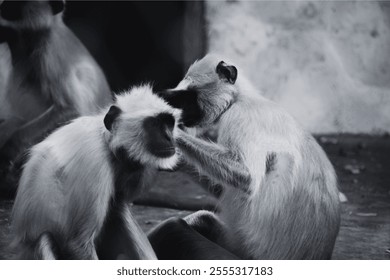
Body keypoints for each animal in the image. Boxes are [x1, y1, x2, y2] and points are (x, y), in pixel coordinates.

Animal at [151, 53, 340, 260]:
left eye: (190, 97)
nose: (183, 114)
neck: (241, 98)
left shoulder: (242, 116)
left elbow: (246, 177)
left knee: (173, 228)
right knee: (200, 219)